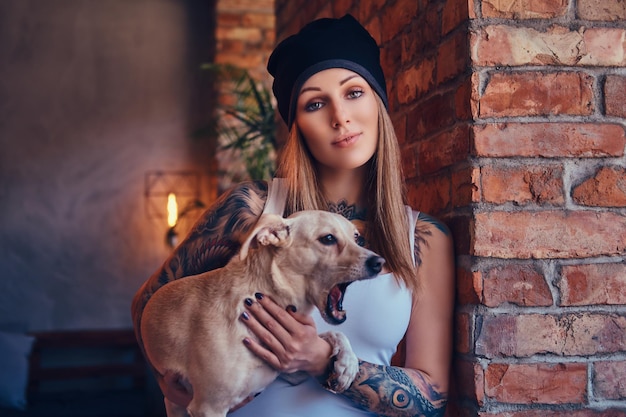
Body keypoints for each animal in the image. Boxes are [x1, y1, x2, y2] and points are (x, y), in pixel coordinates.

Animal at [140, 210, 382, 416]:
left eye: (357, 238)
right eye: (328, 238)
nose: (379, 262)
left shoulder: (294, 370)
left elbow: (333, 334)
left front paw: (347, 364)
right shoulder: (207, 407)